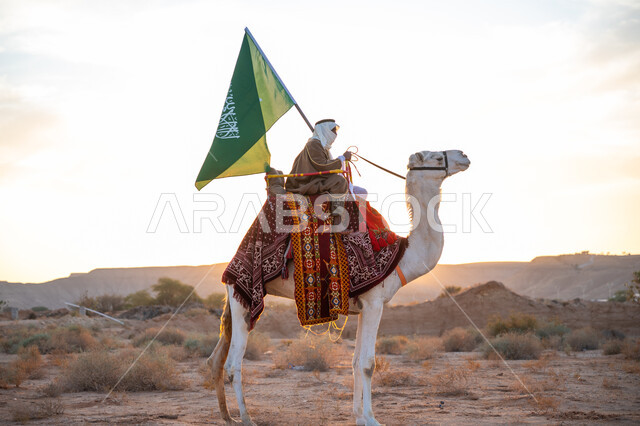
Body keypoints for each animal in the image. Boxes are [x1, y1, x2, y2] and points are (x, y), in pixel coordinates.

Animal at [209, 149, 471, 425]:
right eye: (433, 156)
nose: (463, 155)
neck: (402, 255)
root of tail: (231, 264)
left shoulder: (365, 306)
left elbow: (355, 362)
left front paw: (358, 416)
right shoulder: (375, 302)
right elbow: (368, 363)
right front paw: (372, 419)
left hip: (235, 300)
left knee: (216, 359)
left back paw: (228, 416)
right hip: (244, 298)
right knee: (233, 363)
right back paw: (247, 418)